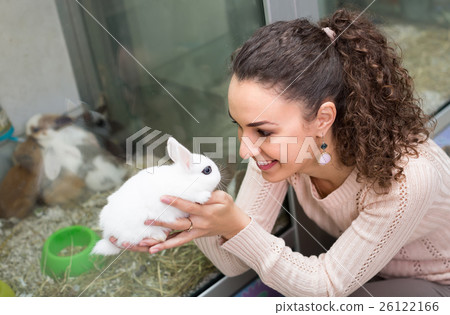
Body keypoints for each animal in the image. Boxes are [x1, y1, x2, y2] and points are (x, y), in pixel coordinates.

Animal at [90, 138, 221, 256]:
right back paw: (160, 236)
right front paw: (205, 197)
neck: (186, 179)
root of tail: (108, 235)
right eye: (207, 170)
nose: (220, 176)